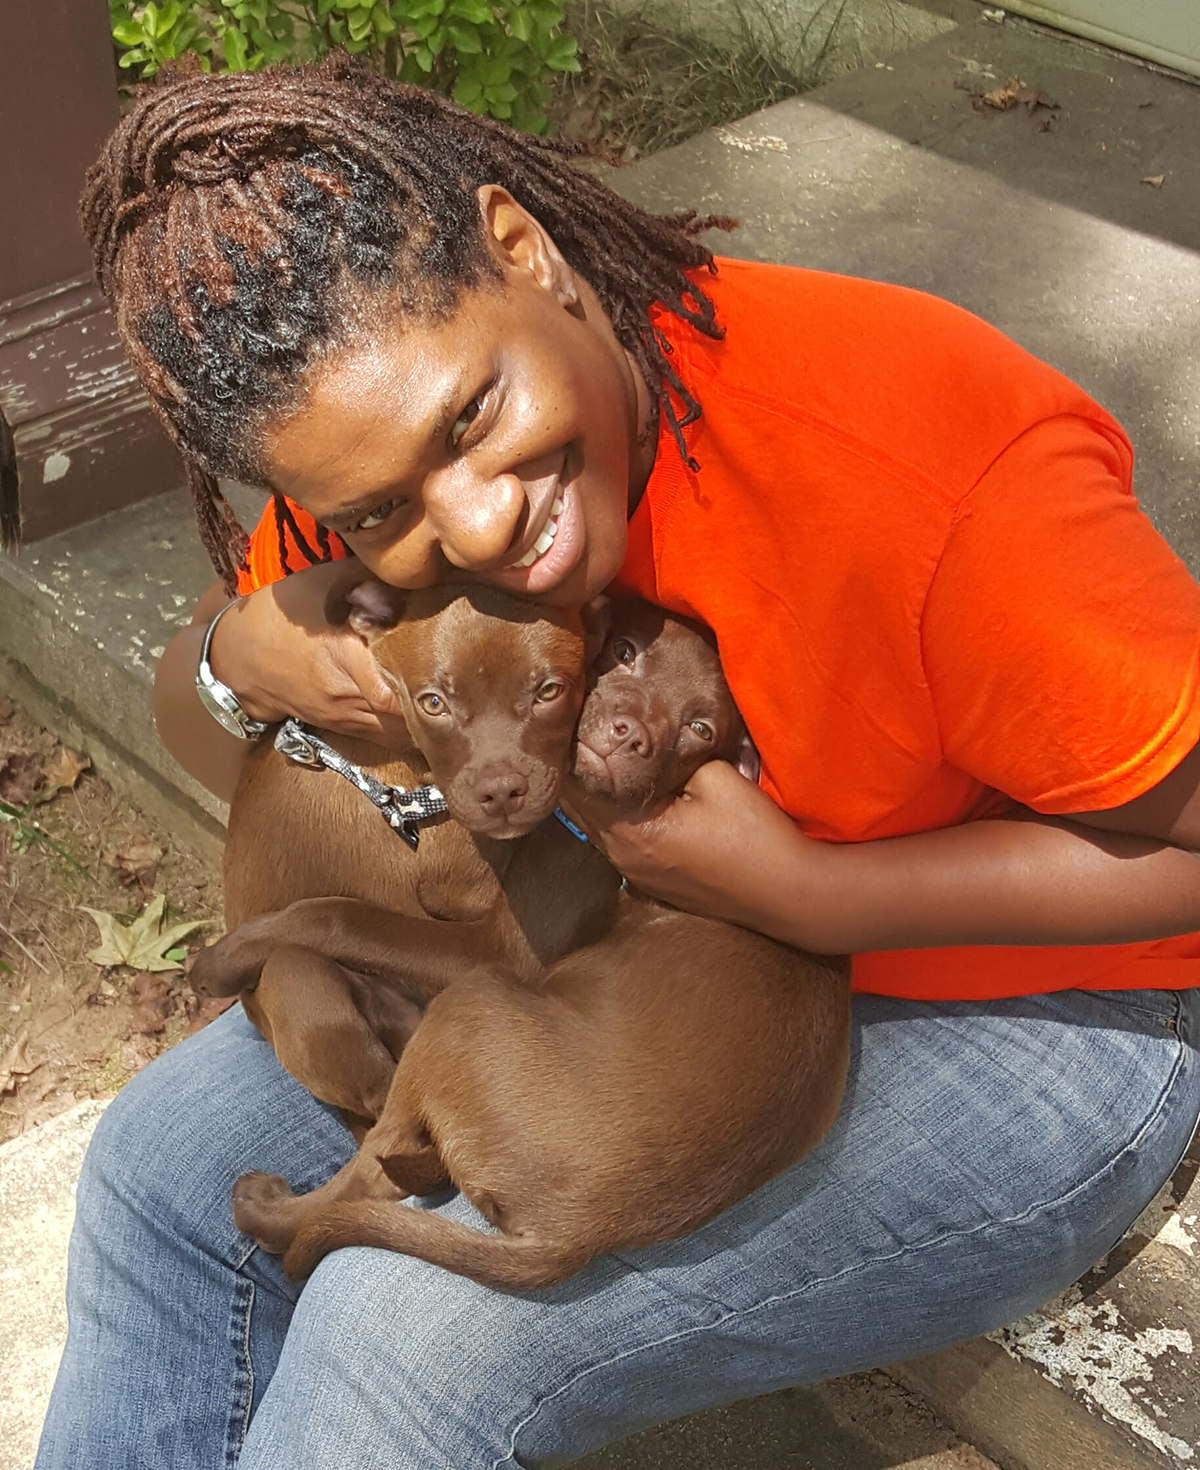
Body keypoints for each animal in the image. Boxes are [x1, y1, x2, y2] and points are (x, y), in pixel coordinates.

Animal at [198, 585, 617, 1123]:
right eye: (433, 703)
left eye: (549, 691)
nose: (502, 794)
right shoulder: (488, 932)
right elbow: (340, 916)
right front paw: (220, 958)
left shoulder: (488, 936)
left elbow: (336, 915)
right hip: (304, 984)